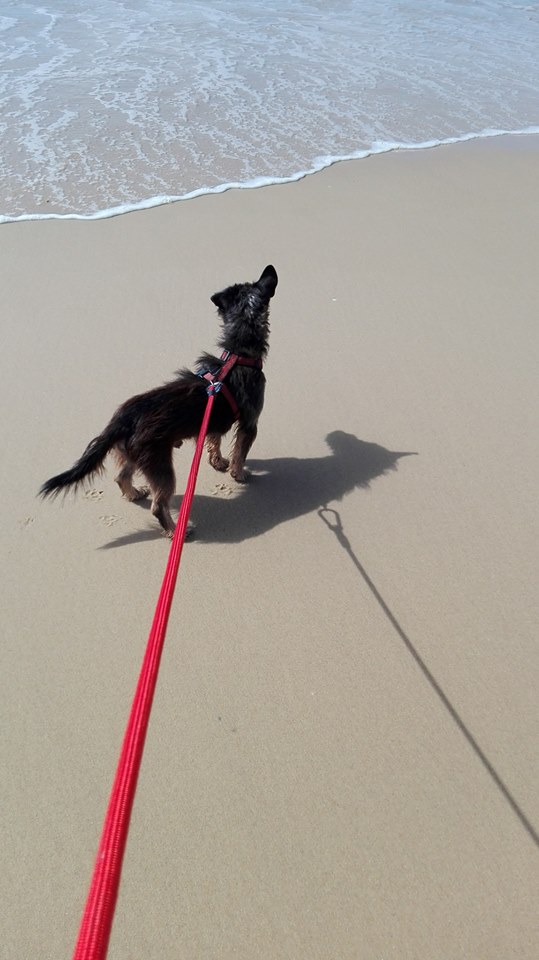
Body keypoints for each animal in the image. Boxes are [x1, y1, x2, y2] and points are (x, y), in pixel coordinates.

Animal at [39, 265, 278, 537]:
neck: (238, 354)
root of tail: (122, 420)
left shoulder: (213, 419)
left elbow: (214, 441)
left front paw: (218, 462)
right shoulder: (250, 422)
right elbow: (240, 452)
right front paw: (239, 474)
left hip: (135, 455)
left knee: (121, 477)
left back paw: (134, 494)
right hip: (160, 465)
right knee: (158, 506)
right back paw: (176, 531)